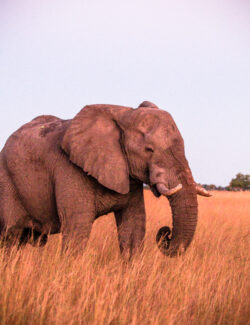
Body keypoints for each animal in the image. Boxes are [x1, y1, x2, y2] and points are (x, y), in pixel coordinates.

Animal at [0, 100, 210, 256]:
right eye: (149, 150)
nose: (166, 233)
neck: (124, 113)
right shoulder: (70, 170)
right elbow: (77, 229)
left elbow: (133, 227)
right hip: (7, 183)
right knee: (10, 237)